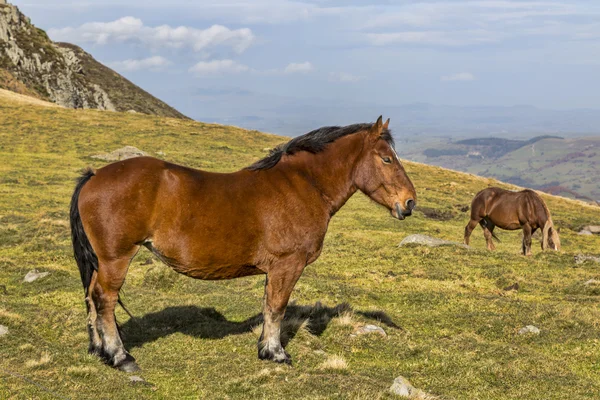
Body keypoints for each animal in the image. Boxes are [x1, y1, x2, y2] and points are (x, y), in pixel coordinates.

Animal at [70, 115, 414, 372]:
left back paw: (99, 350)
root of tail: (93, 176)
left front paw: (265, 348)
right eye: (386, 158)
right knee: (105, 300)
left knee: (91, 297)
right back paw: (119, 356)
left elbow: (268, 306)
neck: (303, 185)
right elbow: (276, 308)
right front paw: (276, 353)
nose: (409, 202)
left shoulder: (275, 270)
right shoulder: (287, 265)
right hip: (116, 258)